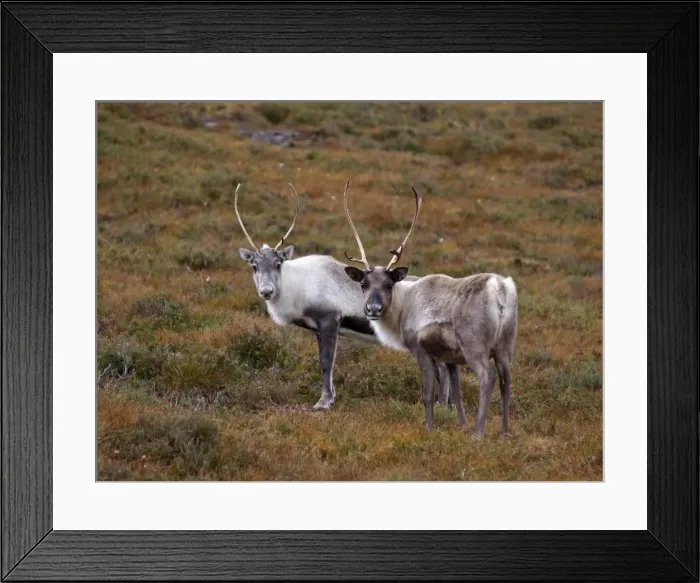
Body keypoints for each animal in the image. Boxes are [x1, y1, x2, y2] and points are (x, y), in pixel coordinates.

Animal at [234, 183, 452, 411]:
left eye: (278, 264)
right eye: (254, 266)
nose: (267, 291)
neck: (298, 286)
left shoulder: (330, 320)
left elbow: (326, 362)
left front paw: (324, 401)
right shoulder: (318, 329)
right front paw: (330, 397)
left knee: (442, 368)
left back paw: (441, 405)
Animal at [342, 182, 518, 438]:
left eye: (389, 284)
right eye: (363, 284)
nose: (373, 308)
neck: (402, 308)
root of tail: (500, 288)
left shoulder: (421, 349)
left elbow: (429, 393)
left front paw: (430, 427)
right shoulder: (450, 357)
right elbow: (456, 393)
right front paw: (462, 426)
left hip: (475, 346)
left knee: (488, 378)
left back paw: (478, 433)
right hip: (505, 346)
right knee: (506, 380)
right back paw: (503, 432)